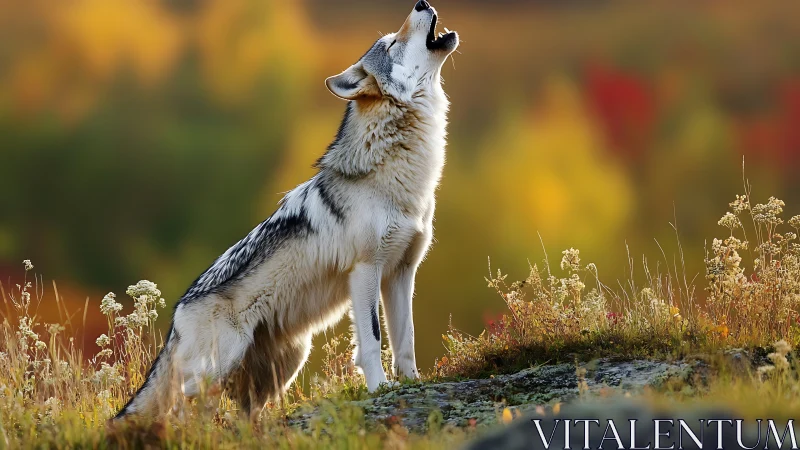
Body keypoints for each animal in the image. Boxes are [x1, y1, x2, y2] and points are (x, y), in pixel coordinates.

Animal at [115, 0, 458, 421]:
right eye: (392, 43)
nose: (421, 3)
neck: (396, 175)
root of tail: (175, 318)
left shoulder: (401, 272)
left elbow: (405, 339)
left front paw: (412, 382)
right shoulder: (365, 271)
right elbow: (373, 341)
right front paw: (380, 388)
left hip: (291, 358)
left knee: (240, 412)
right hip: (225, 362)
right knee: (184, 404)